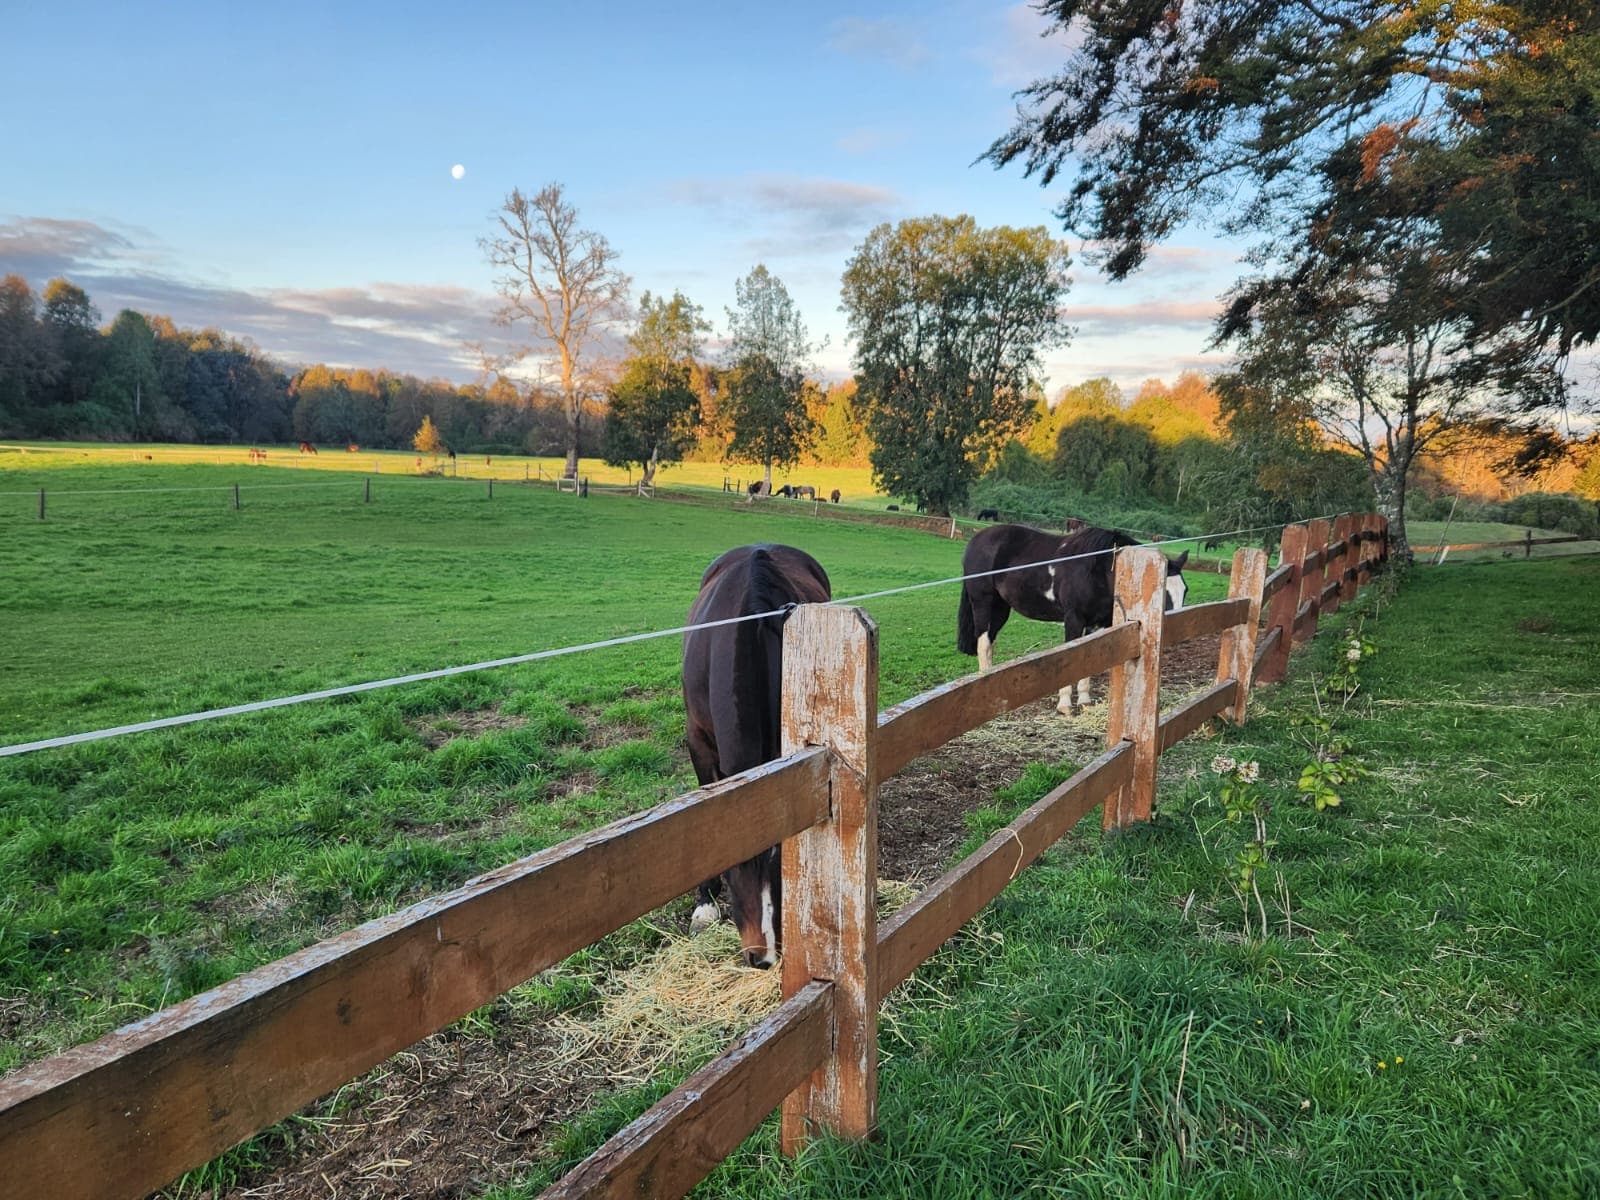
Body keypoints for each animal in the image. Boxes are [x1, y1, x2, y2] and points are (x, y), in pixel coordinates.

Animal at [957, 525, 1189, 714]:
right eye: (1161, 592)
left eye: (1184, 590)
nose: (1176, 632)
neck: (1098, 568)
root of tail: (977, 539)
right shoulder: (1074, 619)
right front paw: (1065, 705)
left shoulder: (1097, 624)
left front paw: (1085, 701)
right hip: (983, 603)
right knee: (983, 643)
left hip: (1001, 608)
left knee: (990, 641)